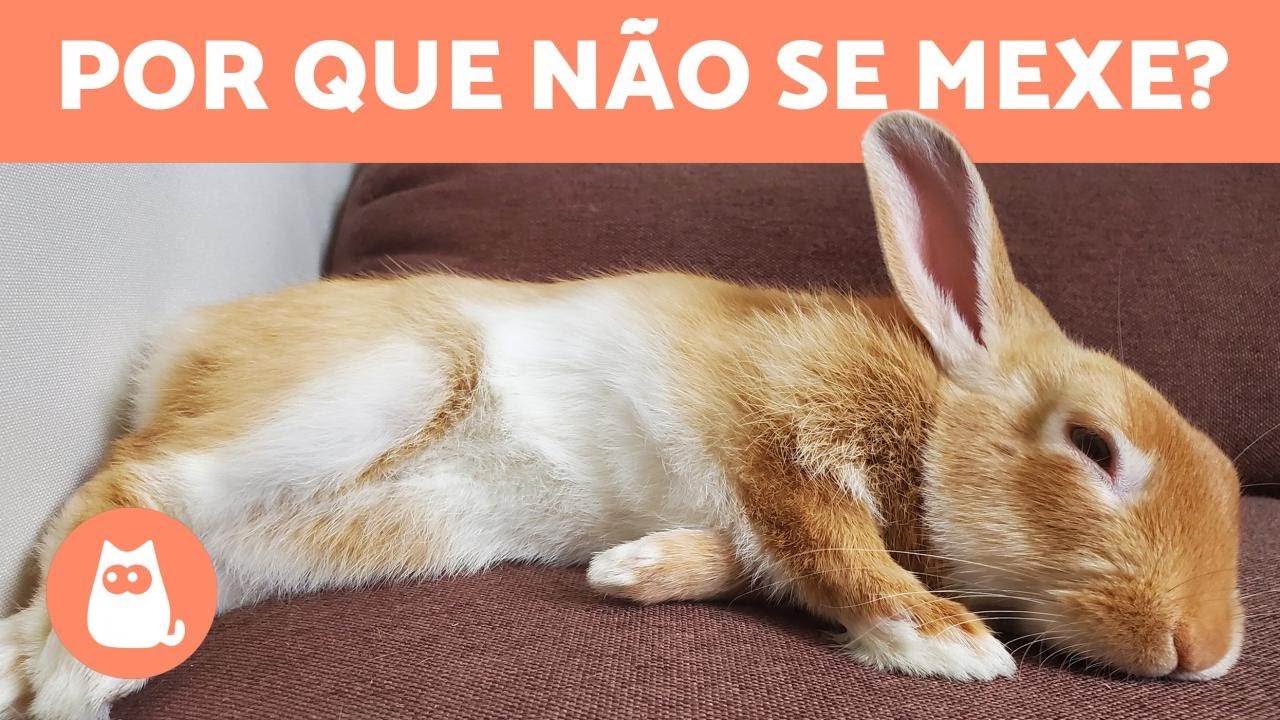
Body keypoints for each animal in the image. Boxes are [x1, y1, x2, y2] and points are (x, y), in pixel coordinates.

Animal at [0, 111, 1242, 720]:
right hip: (376, 385)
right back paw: (64, 684)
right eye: (1092, 447)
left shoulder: (749, 519)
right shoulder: (773, 432)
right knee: (143, 477)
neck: (929, 418)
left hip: (350, 530)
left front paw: (625, 573)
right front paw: (946, 645)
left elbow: (750, 560)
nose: (1204, 652)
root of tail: (176, 351)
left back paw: (46, 666)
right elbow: (824, 541)